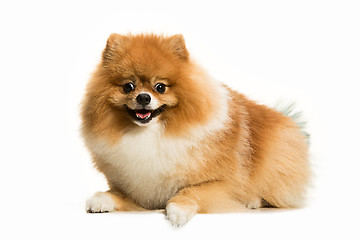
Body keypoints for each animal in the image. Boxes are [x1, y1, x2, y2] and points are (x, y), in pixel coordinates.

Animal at [81, 33, 310, 227]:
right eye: (128, 86)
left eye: (160, 87)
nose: (143, 97)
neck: (151, 134)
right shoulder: (139, 189)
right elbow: (117, 194)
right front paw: (101, 199)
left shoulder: (220, 184)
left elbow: (191, 191)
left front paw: (178, 211)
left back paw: (253, 200)